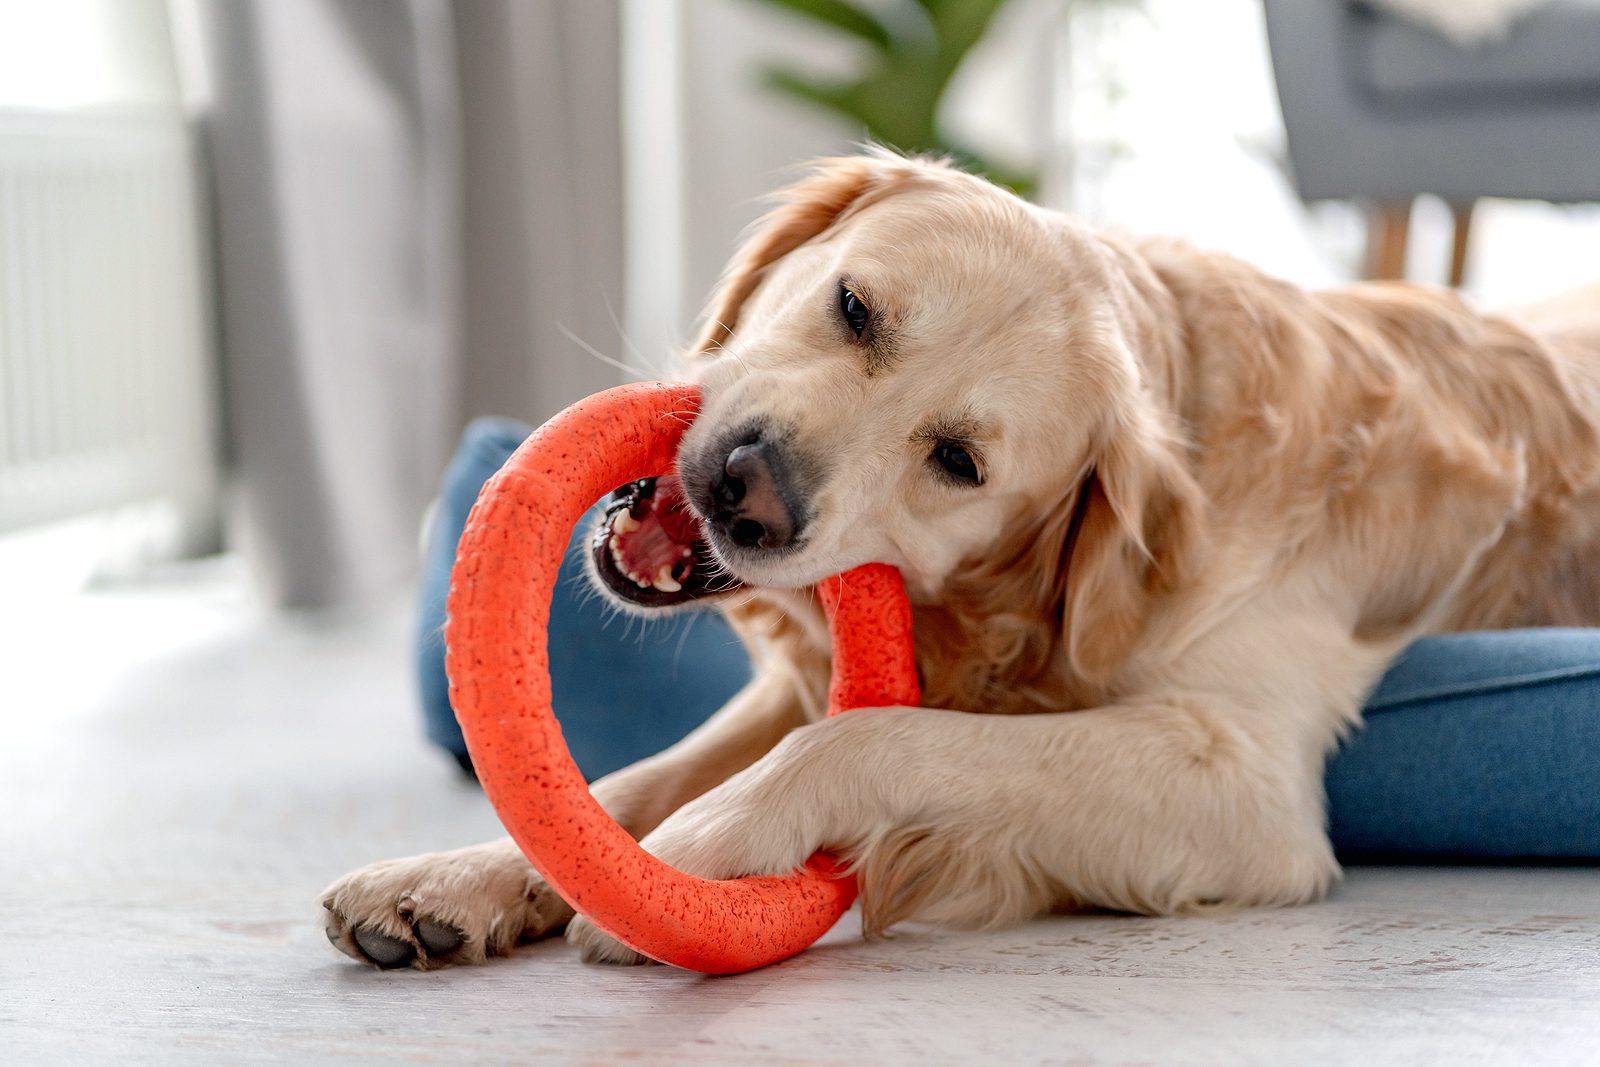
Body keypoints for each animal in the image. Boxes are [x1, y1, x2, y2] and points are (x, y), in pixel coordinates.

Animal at [321, 151, 1600, 979]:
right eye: (853, 306)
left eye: (957, 461)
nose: (748, 487)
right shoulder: (782, 687)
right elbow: (624, 780)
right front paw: (451, 877)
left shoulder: (1244, 779)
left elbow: (876, 736)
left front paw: (696, 850)